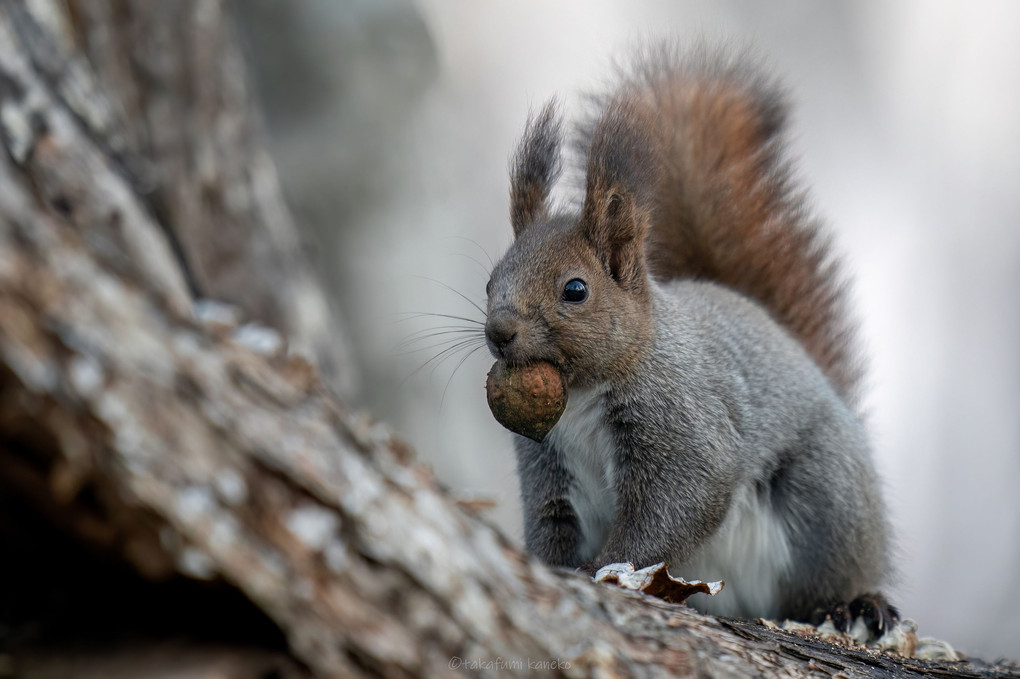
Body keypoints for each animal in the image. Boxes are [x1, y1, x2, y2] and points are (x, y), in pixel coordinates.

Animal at [481, 46, 897, 628]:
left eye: (575, 289)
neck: (583, 394)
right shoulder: (548, 466)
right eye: (490, 281)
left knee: (832, 575)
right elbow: (551, 522)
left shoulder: (684, 424)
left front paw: (605, 570)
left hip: (826, 500)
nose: (499, 332)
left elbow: (676, 507)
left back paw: (856, 601)